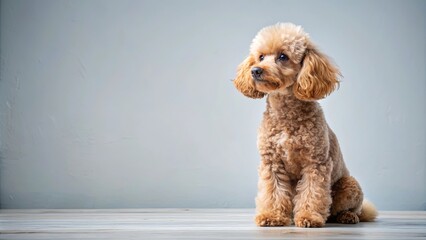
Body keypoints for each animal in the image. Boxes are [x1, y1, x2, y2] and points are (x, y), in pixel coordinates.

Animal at [233, 23, 376, 228]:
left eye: (282, 56)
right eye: (260, 57)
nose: (256, 70)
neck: (285, 114)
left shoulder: (315, 163)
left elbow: (312, 193)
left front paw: (309, 217)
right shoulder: (272, 163)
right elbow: (273, 192)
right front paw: (272, 216)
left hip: (350, 186)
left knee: (351, 209)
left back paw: (348, 216)